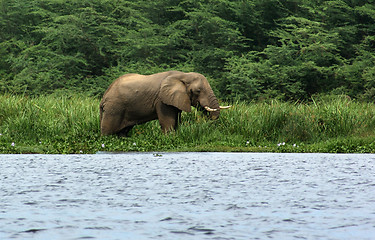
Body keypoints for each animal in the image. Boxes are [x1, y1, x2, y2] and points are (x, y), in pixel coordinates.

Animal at [100, 70, 229, 136]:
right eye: (198, 91)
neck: (183, 74)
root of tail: (104, 96)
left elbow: (177, 119)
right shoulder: (162, 100)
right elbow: (168, 121)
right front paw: (169, 137)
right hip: (114, 108)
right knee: (108, 131)